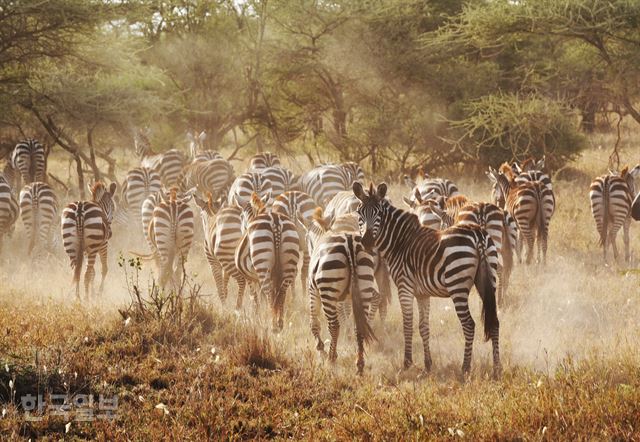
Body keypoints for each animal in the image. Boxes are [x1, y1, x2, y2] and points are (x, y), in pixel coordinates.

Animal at [235, 193, 300, 332]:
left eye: (241, 217)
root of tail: (275, 220)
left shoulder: (250, 278)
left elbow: (255, 298)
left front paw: (257, 318)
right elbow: (265, 297)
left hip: (262, 265)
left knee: (269, 292)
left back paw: (273, 325)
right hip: (288, 262)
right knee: (281, 292)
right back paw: (279, 323)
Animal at [304, 211, 376, 372]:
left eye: (307, 239)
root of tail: (349, 242)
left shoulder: (312, 291)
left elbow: (314, 323)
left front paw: (321, 350)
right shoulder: (349, 298)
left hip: (328, 291)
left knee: (334, 326)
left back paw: (331, 359)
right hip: (365, 287)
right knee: (359, 327)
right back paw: (359, 364)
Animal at [356, 181, 500, 374]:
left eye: (378, 213)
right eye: (359, 213)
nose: (367, 242)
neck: (400, 242)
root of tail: (478, 234)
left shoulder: (404, 287)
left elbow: (408, 325)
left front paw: (407, 362)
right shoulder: (422, 293)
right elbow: (424, 327)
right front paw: (428, 363)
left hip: (458, 286)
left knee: (469, 325)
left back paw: (465, 367)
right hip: (489, 281)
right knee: (495, 322)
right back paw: (497, 368)